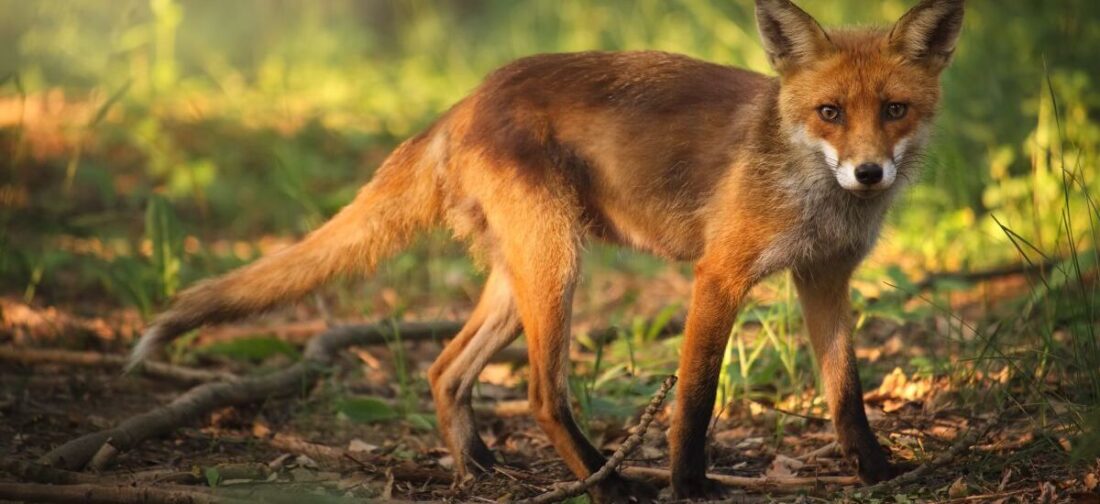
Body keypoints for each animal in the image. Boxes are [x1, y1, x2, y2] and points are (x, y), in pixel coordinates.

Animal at [128, 0, 964, 500]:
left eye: (895, 110)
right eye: (830, 112)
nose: (869, 172)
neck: (812, 189)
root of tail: (465, 100)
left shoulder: (825, 277)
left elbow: (846, 394)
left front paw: (878, 470)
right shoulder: (719, 276)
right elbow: (695, 403)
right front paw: (689, 487)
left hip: (519, 279)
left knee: (444, 368)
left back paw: (474, 467)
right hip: (558, 268)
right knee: (538, 394)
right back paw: (604, 483)